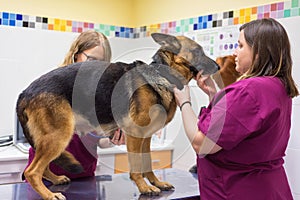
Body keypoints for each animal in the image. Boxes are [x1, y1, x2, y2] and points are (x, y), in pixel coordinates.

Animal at [15, 33, 218, 199]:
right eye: (198, 51)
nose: (217, 66)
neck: (163, 74)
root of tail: (25, 92)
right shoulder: (134, 136)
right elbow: (136, 166)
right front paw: (144, 187)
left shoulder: (146, 138)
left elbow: (148, 163)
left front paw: (156, 183)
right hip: (59, 136)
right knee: (33, 171)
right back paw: (49, 195)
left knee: (41, 166)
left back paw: (56, 180)